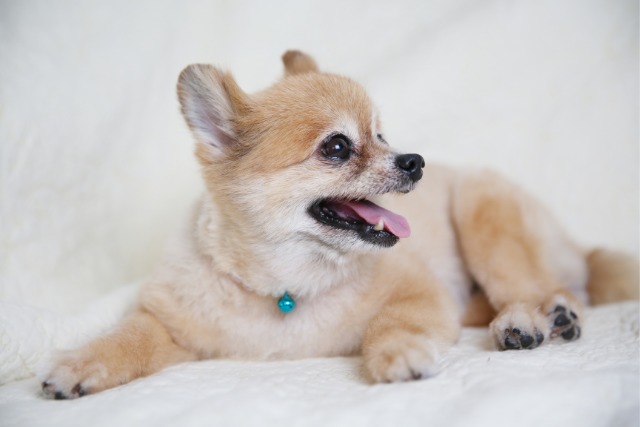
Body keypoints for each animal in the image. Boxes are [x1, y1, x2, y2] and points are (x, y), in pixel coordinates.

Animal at [41, 50, 638, 398]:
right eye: (336, 147)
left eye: (382, 135)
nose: (414, 161)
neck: (287, 286)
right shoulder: (171, 323)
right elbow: (130, 335)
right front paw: (82, 363)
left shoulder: (421, 294)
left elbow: (391, 322)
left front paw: (397, 354)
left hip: (482, 210)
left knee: (549, 287)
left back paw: (536, 318)